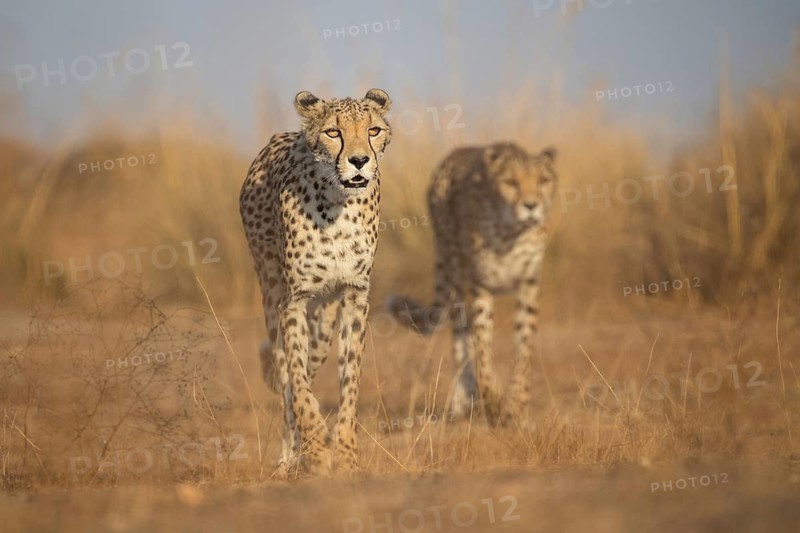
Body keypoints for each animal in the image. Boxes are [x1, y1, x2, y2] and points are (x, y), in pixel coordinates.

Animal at [239, 88, 392, 475]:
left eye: (373, 130)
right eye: (333, 132)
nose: (358, 161)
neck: (338, 203)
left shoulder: (354, 296)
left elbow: (350, 381)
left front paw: (347, 454)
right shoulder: (293, 300)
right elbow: (298, 383)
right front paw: (317, 450)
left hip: (323, 323)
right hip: (270, 295)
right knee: (286, 378)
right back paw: (289, 456)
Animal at [387, 142, 557, 426]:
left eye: (543, 180)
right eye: (510, 182)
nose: (531, 206)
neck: (511, 232)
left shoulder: (529, 285)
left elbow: (524, 350)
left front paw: (517, 408)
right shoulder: (478, 287)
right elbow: (482, 349)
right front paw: (493, 400)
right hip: (455, 274)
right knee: (460, 340)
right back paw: (463, 403)